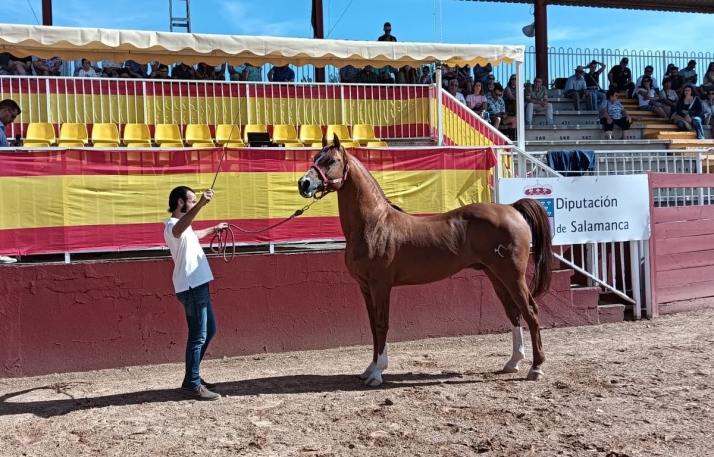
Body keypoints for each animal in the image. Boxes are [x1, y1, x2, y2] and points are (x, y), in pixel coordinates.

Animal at [297, 134, 553, 386]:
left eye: (331, 160)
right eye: (315, 157)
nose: (304, 183)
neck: (375, 224)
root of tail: (512, 209)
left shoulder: (381, 286)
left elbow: (381, 325)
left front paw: (378, 373)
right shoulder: (365, 288)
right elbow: (372, 327)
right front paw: (369, 369)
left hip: (513, 276)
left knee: (530, 311)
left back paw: (536, 368)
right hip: (496, 276)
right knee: (514, 312)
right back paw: (513, 363)